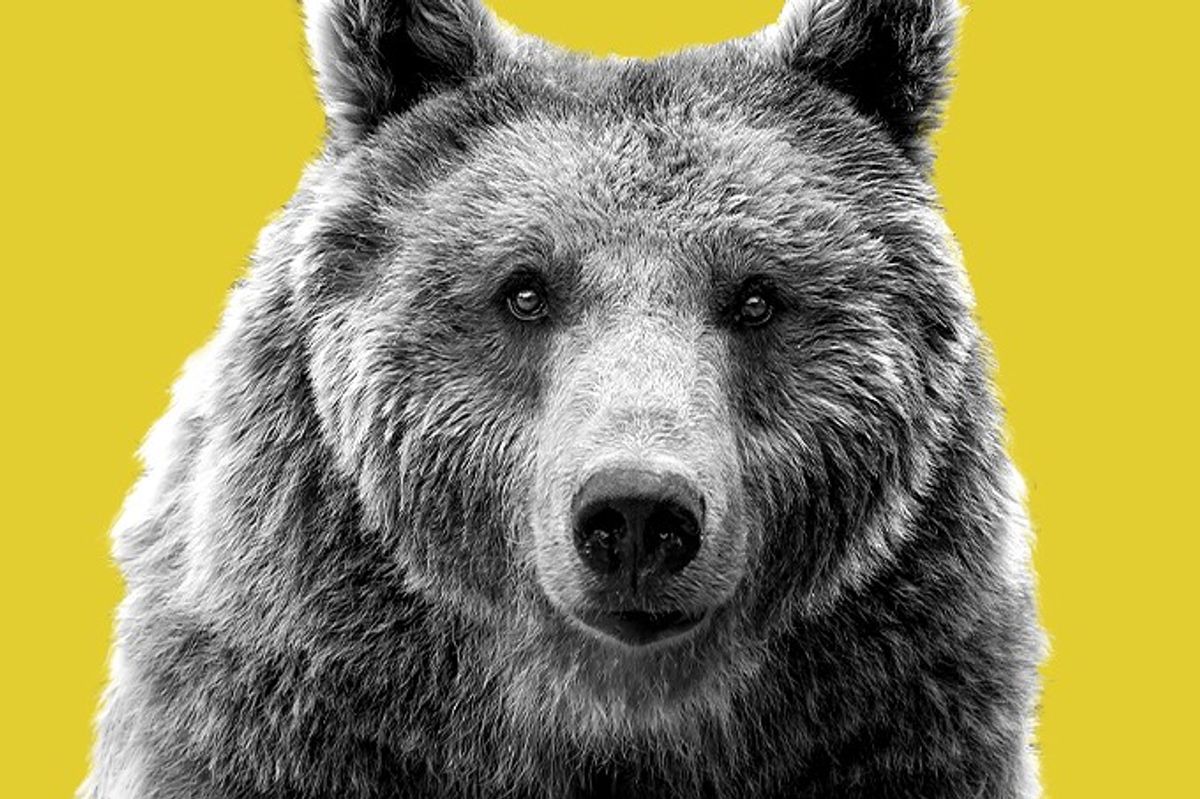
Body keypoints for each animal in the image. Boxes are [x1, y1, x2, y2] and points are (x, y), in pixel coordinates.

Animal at [82, 0, 1044, 797]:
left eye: (757, 296)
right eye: (524, 290)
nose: (638, 513)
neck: (600, 719)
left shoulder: (897, 729)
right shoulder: (282, 723)